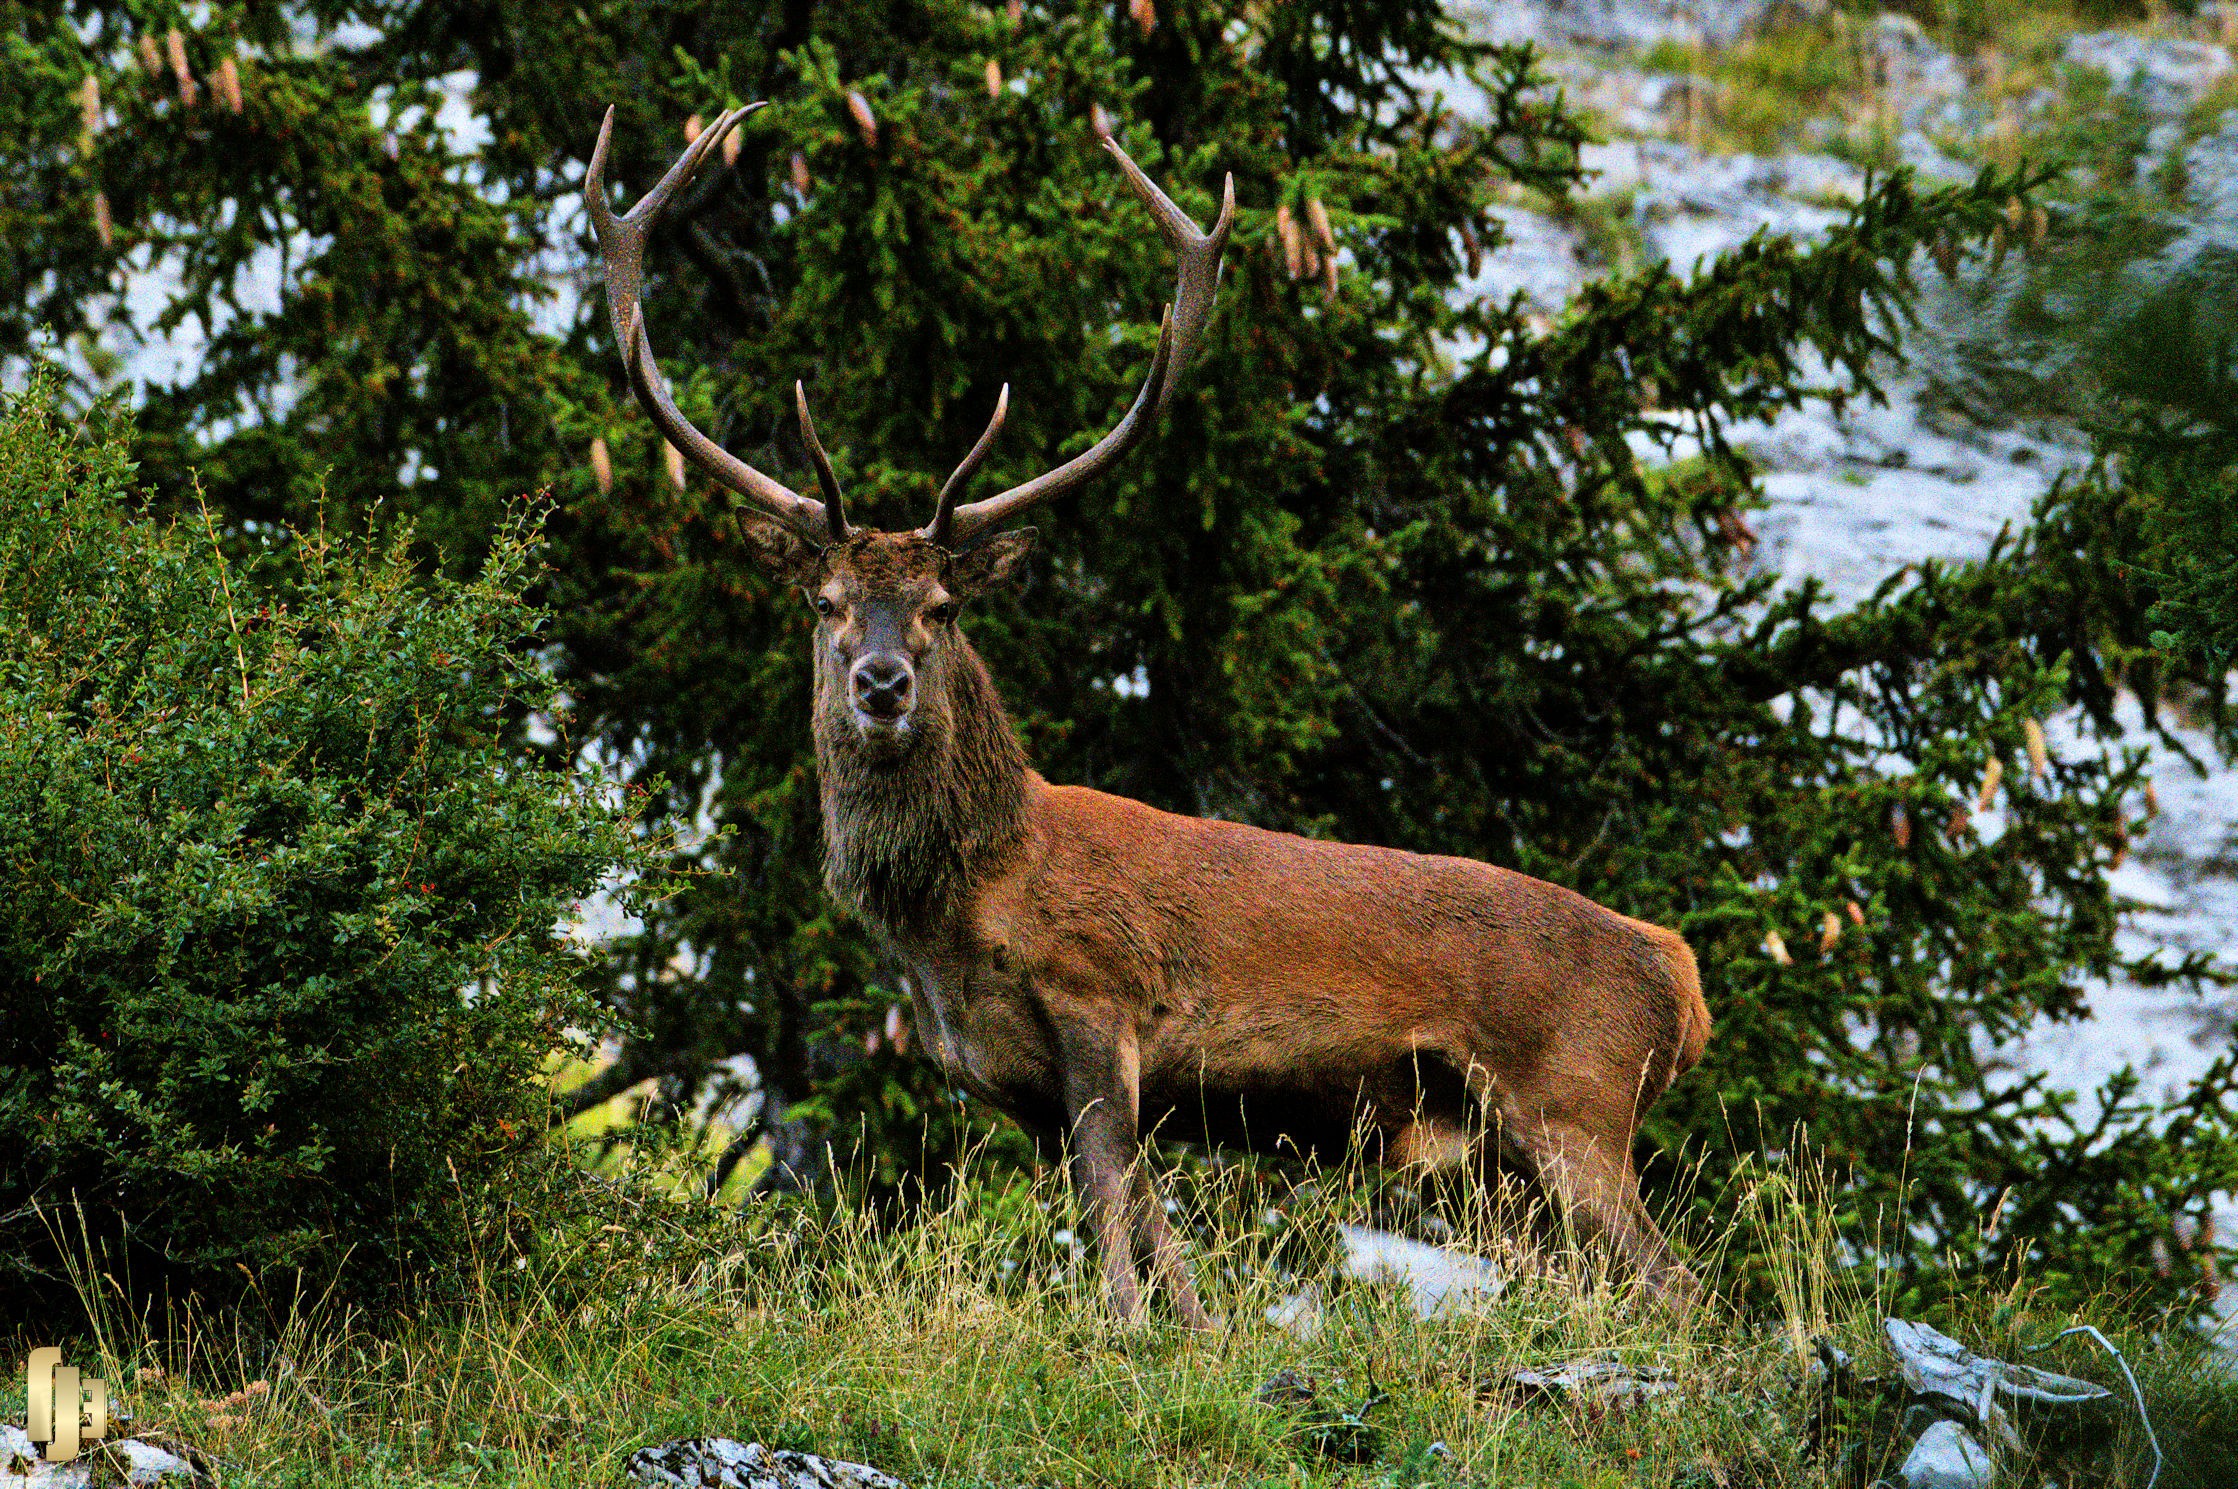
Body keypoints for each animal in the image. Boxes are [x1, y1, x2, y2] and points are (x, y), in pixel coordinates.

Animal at [590, 98, 1709, 1316]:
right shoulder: (1016, 1082)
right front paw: (1190, 1326)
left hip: (1577, 1104)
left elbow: (1114, 1213)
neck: (965, 907)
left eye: (941, 605)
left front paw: (1126, 1329)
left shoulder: (1100, 1001)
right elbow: (1139, 1229)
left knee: (1684, 1293)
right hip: (1497, 1167)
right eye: (826, 600)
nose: (881, 682)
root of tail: (1680, 983)